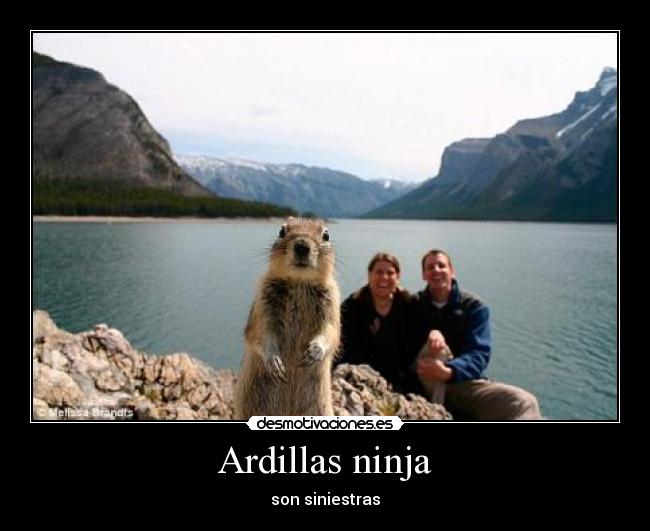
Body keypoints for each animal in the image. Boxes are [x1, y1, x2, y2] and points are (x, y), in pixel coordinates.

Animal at [234, 217, 341, 417]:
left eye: (326, 235)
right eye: (281, 231)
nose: (302, 245)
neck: (299, 281)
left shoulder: (332, 303)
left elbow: (330, 332)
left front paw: (314, 352)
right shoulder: (263, 304)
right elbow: (260, 333)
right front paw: (275, 362)